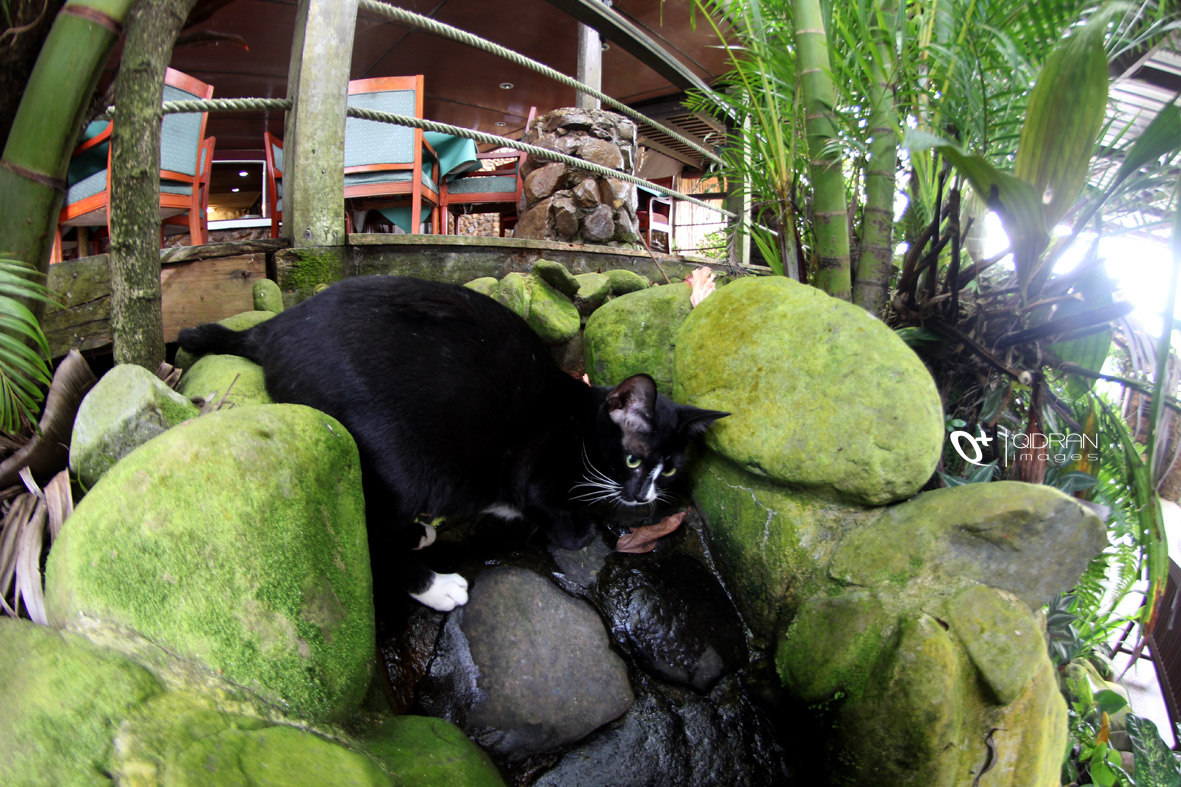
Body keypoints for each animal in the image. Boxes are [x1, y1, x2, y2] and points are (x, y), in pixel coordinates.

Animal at [178, 272, 722, 609]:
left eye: (670, 468)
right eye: (632, 459)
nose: (644, 495)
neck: (578, 423)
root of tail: (273, 327)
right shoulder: (533, 473)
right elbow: (559, 517)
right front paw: (582, 527)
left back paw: (421, 532)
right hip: (396, 455)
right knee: (371, 533)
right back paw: (434, 585)